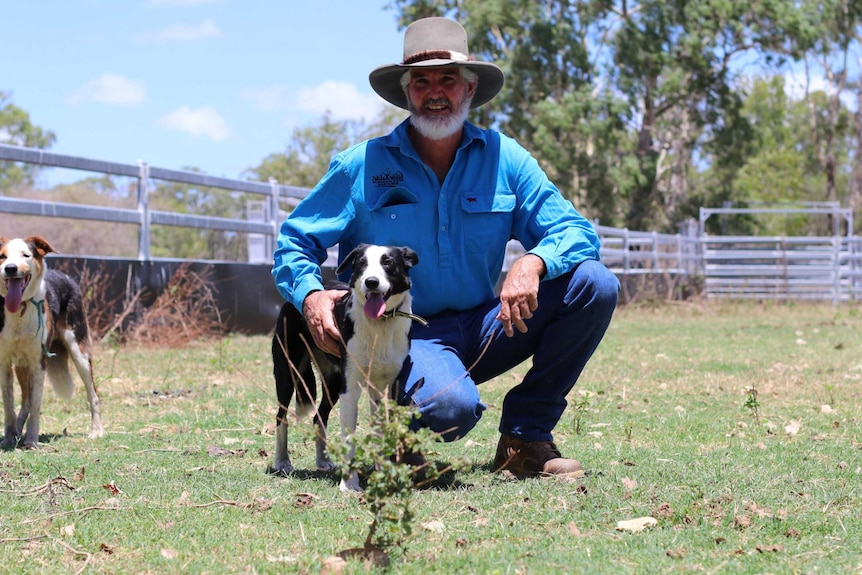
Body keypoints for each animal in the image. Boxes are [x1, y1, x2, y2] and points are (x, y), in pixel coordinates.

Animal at [270, 245, 418, 492]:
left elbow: (380, 434)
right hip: (287, 372)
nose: (371, 282)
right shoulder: (350, 391)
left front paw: (382, 473)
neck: (379, 324)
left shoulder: (383, 390)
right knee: (281, 417)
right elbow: (349, 440)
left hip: (333, 381)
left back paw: (323, 460)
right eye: (361, 263)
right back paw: (282, 462)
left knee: (318, 417)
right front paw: (349, 485)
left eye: (388, 262)